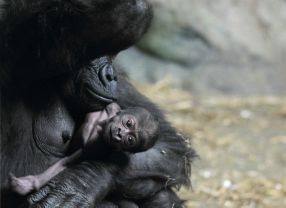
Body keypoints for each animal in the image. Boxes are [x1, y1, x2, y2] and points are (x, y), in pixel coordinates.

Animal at [8, 103, 159, 196]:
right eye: (128, 123)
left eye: (130, 140)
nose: (120, 134)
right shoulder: (111, 108)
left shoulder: (97, 145)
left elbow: (67, 162)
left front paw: (29, 184)